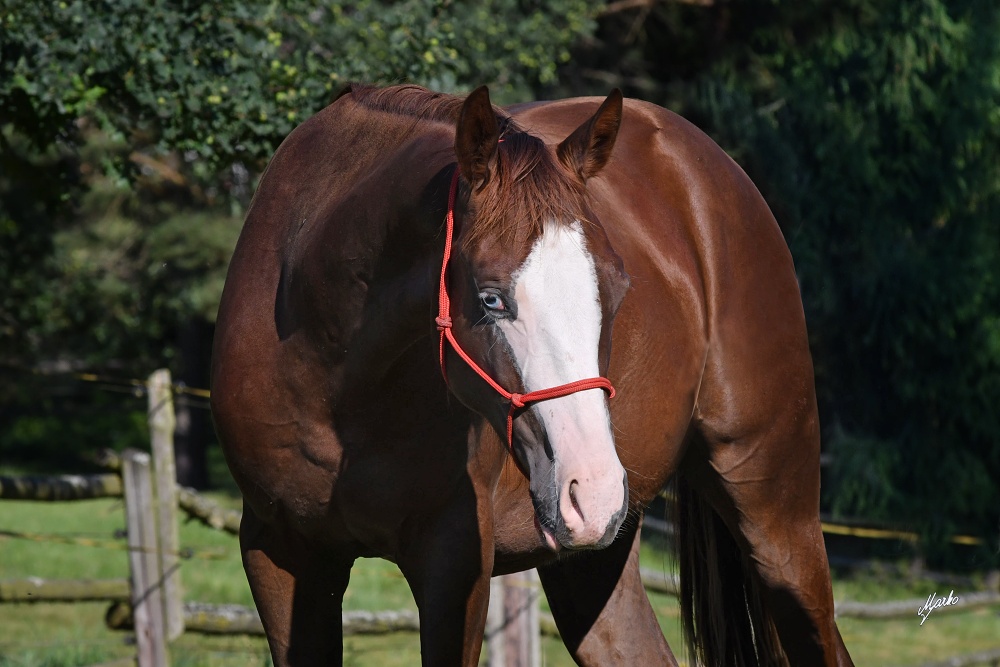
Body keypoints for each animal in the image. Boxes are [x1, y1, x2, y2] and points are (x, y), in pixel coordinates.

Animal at [211, 83, 852, 667]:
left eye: (618, 290)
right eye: (491, 299)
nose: (592, 490)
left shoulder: (455, 563)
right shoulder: (280, 552)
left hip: (776, 520)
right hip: (591, 562)